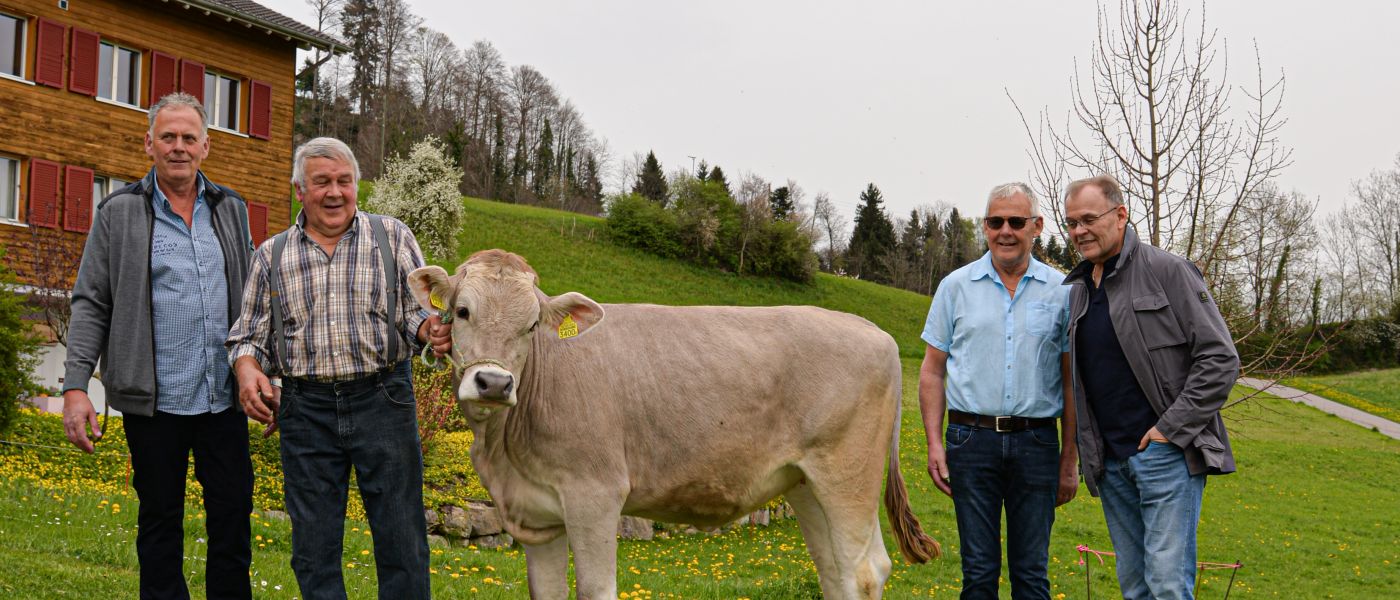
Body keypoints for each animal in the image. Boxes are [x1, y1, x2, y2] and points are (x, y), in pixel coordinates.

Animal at [408, 248, 946, 598]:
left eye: (532, 325)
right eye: (461, 311)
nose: (494, 383)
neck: (504, 449)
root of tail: (874, 331)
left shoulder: (594, 495)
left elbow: (596, 589)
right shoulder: (536, 515)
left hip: (847, 474)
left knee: (865, 571)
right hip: (805, 483)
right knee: (834, 572)